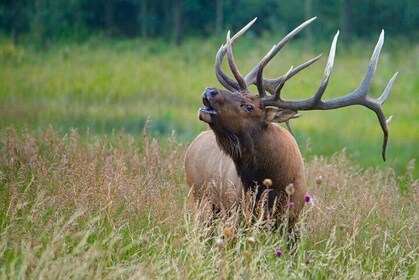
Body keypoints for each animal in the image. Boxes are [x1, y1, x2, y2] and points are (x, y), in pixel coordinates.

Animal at [185, 18, 398, 230]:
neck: (272, 185)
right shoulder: (237, 213)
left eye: (249, 106)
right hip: (200, 199)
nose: (210, 91)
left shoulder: (292, 220)